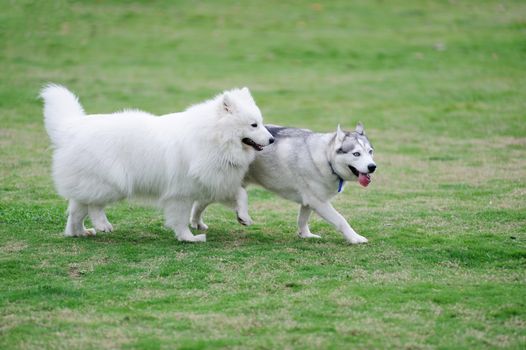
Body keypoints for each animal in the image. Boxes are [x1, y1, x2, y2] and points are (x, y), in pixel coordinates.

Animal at [40, 85, 276, 241]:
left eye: (261, 123)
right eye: (254, 125)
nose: (272, 140)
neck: (214, 137)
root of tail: (71, 128)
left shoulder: (215, 181)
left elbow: (241, 195)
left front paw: (244, 217)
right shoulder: (181, 194)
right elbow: (180, 220)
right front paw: (189, 238)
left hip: (90, 185)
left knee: (76, 210)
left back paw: (79, 232)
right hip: (112, 182)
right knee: (93, 206)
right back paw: (101, 223)